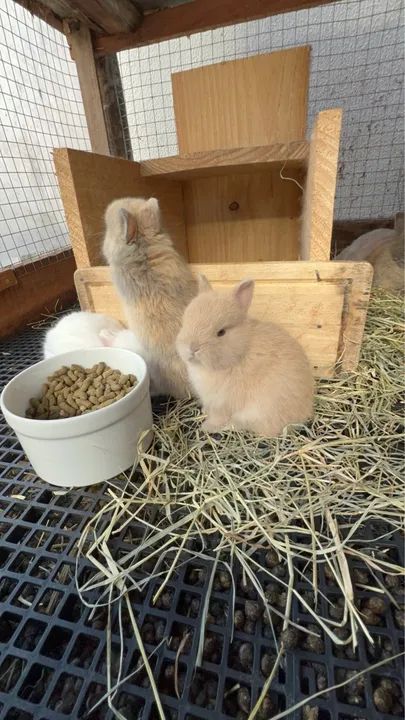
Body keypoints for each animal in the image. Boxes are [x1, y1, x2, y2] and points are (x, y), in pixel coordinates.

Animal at [176, 276, 314, 437]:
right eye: (185, 321)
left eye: (221, 332)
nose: (192, 348)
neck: (239, 353)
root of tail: (304, 414)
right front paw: (205, 411)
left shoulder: (222, 404)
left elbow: (218, 417)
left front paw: (207, 427)